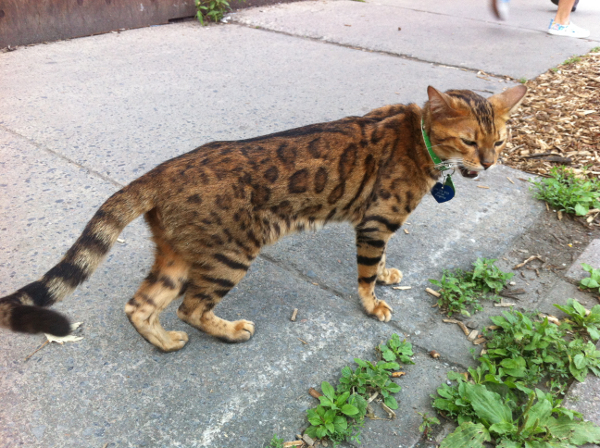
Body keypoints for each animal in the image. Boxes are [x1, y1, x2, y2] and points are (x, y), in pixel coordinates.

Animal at [0, 84, 524, 350]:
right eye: (469, 141)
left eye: (500, 141)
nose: (490, 164)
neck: (418, 138)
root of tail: (162, 170)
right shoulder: (376, 221)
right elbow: (366, 273)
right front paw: (373, 301)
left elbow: (381, 266)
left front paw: (390, 274)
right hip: (229, 255)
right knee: (191, 307)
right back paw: (229, 331)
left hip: (178, 257)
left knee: (140, 305)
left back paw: (166, 341)